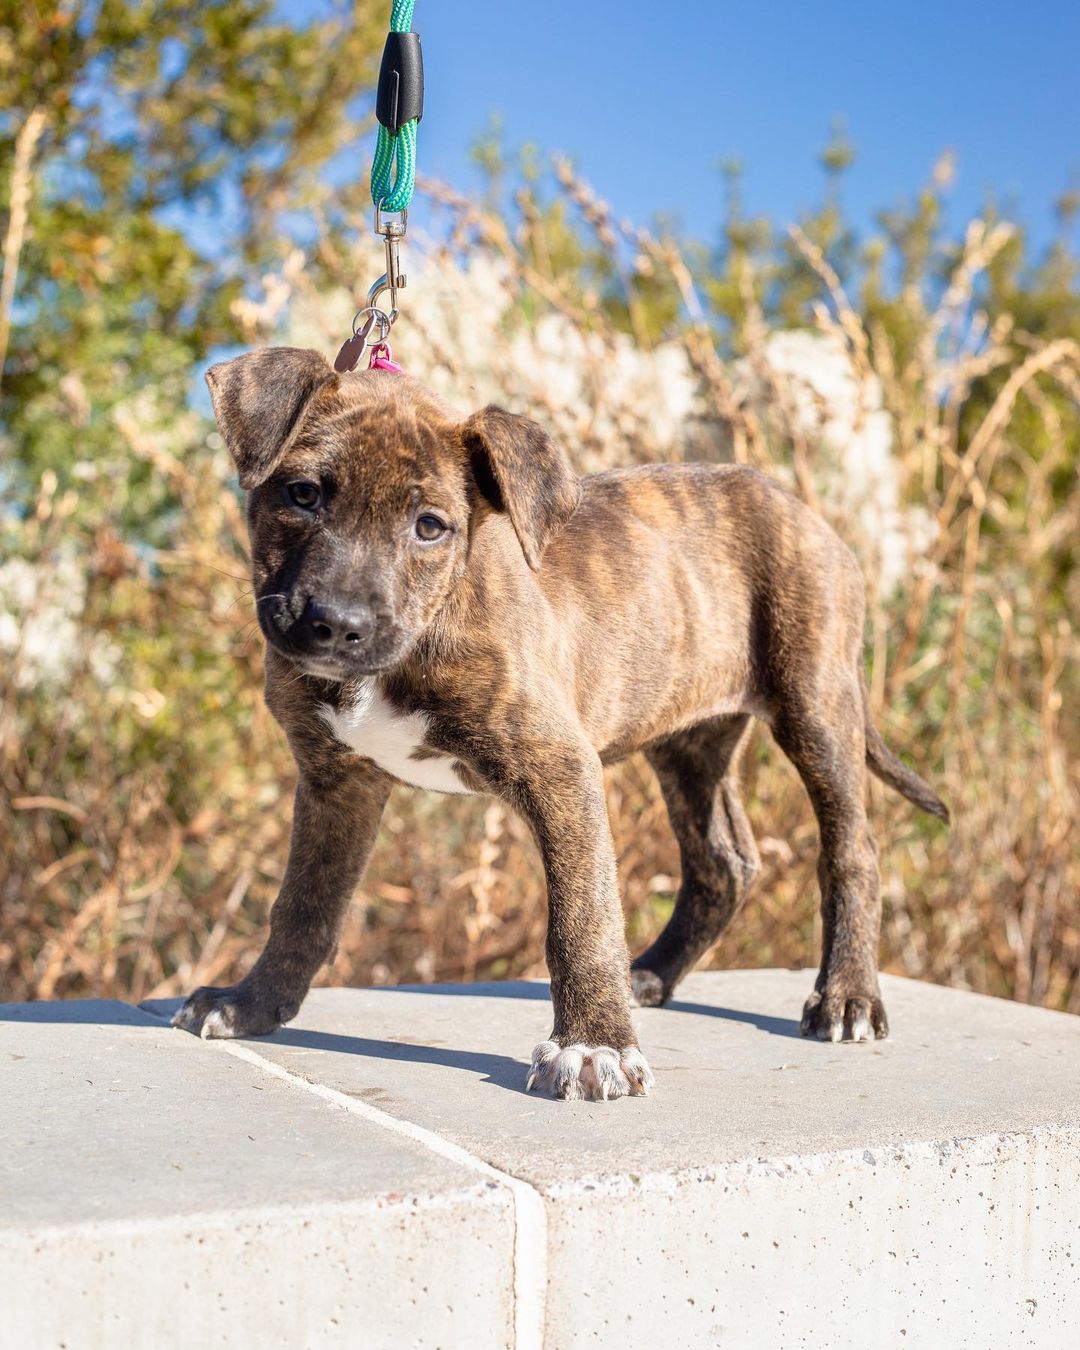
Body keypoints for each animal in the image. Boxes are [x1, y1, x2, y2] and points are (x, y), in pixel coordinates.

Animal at [172, 342, 950, 1101]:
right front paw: (252, 1002)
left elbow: (582, 915)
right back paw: (652, 975)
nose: (336, 625)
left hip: (815, 702)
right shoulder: (337, 781)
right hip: (688, 741)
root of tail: (806, 511)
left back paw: (846, 997)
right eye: (302, 493)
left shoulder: (558, 767)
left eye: (430, 527)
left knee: (852, 850)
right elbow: (303, 904)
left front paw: (594, 1046)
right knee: (723, 862)